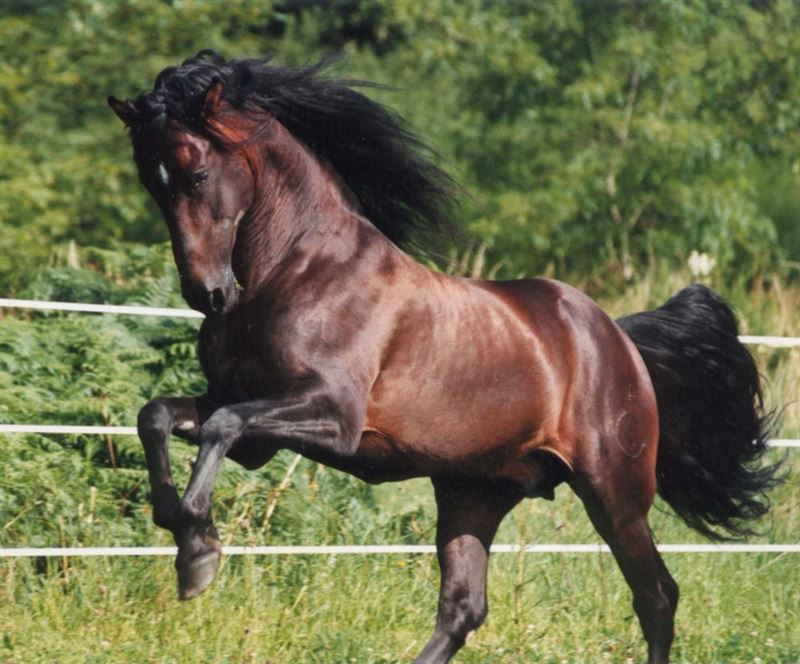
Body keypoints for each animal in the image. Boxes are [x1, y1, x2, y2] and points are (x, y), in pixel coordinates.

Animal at [108, 51, 781, 664]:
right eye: (150, 181)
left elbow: (219, 425)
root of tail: (617, 336)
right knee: (463, 608)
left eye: (197, 174)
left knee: (657, 596)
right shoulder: (256, 434)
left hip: (614, 492)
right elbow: (158, 415)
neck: (298, 268)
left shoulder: (331, 415)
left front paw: (199, 552)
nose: (207, 294)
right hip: (473, 493)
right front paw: (181, 532)